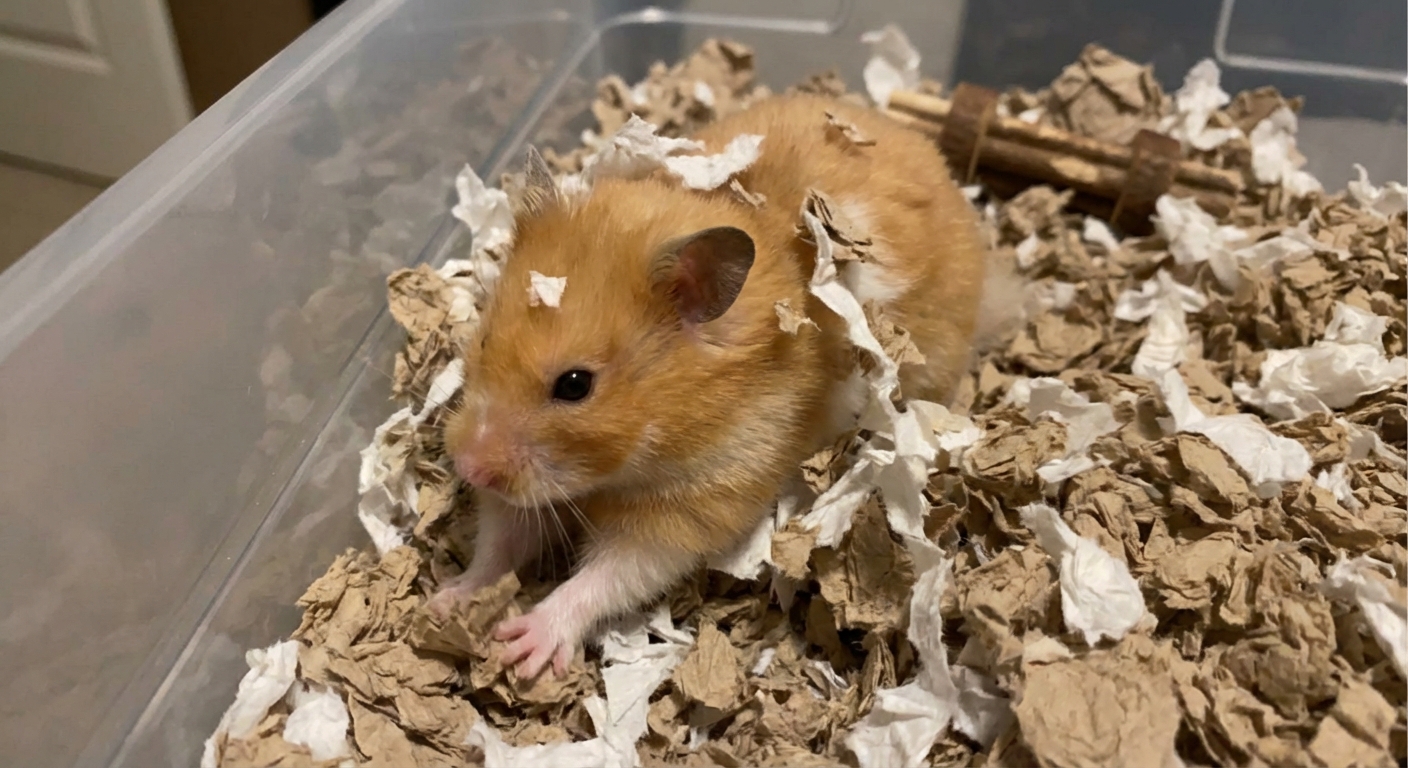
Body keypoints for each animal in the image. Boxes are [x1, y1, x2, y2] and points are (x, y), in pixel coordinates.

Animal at [428, 93, 989, 679]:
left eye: (575, 385)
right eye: (484, 341)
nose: (468, 467)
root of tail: (935, 162)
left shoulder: (696, 504)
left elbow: (606, 578)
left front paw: (523, 645)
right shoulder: (527, 497)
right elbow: (499, 542)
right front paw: (447, 602)